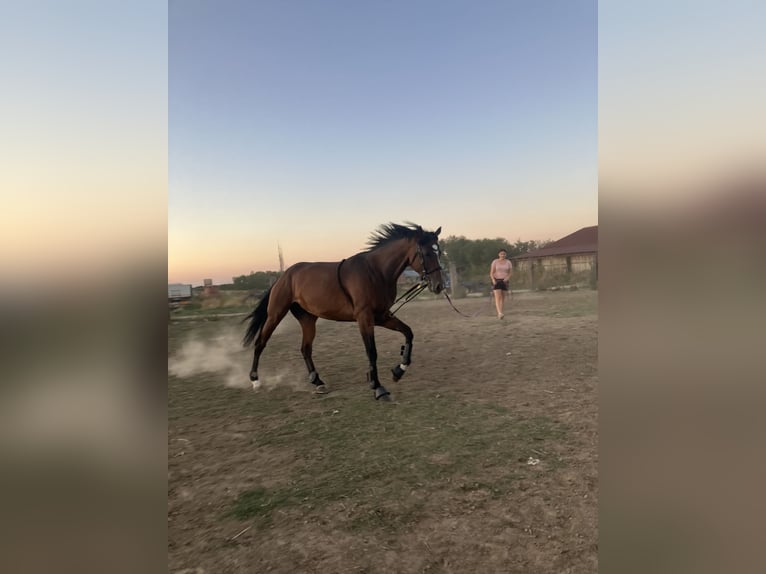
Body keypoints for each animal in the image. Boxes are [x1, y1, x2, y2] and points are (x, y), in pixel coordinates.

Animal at [242, 222, 445, 401]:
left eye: (439, 252)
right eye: (426, 253)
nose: (438, 286)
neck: (375, 272)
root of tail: (283, 276)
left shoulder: (382, 316)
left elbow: (408, 333)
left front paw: (398, 371)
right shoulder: (364, 318)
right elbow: (371, 351)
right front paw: (378, 387)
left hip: (308, 319)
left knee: (305, 349)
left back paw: (318, 382)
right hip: (275, 315)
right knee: (260, 343)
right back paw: (255, 381)